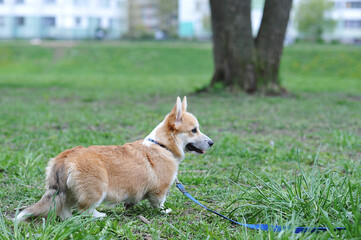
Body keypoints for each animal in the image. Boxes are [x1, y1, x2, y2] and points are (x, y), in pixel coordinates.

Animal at [15, 96, 212, 222]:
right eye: (194, 130)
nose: (212, 142)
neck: (162, 145)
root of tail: (64, 158)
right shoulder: (159, 191)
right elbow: (158, 203)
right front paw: (164, 211)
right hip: (96, 190)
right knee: (85, 210)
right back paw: (99, 216)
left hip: (66, 192)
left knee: (64, 209)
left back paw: (69, 219)